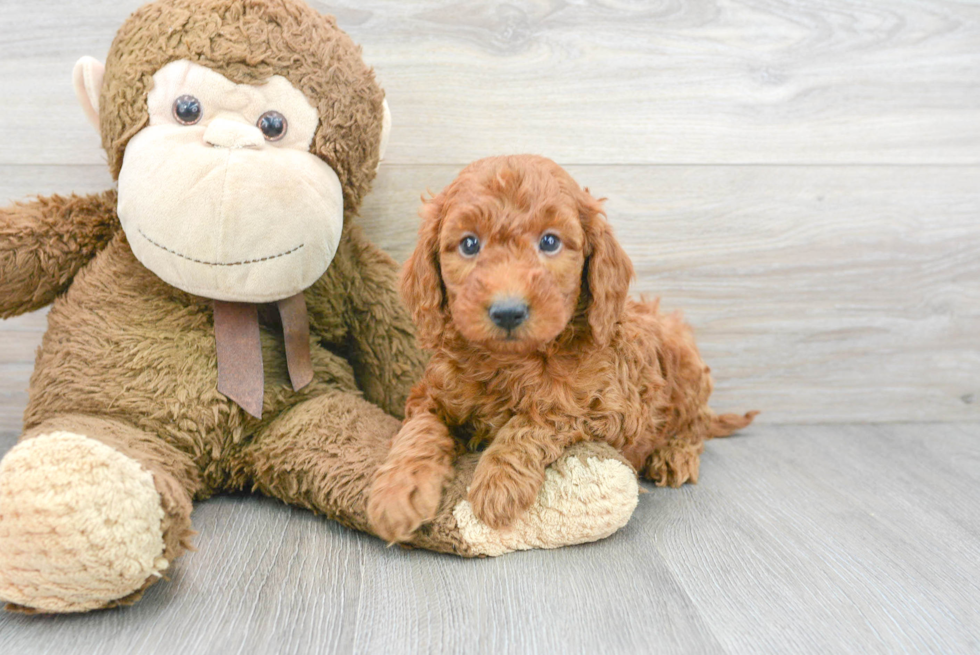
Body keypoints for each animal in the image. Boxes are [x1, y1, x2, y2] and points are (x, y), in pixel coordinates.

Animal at [368, 154, 756, 544]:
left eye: (550, 241)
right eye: (469, 244)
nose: (508, 311)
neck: (512, 362)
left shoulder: (613, 409)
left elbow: (542, 416)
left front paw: (498, 482)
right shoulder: (430, 394)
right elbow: (419, 429)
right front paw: (397, 492)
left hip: (686, 366)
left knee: (694, 425)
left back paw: (675, 454)